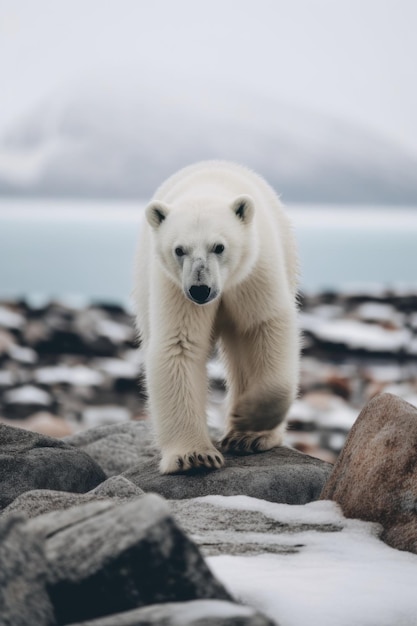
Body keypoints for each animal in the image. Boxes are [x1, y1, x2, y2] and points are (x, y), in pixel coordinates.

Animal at [133, 161, 300, 472]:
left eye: (219, 246)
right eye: (179, 249)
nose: (200, 289)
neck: (206, 187)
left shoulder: (254, 273)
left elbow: (264, 327)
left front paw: (250, 423)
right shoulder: (173, 287)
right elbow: (179, 344)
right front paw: (195, 456)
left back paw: (243, 437)